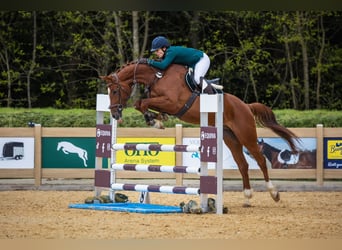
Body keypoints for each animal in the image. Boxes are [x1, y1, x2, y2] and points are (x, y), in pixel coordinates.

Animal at [100, 61, 300, 207]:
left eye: (115, 90)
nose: (115, 114)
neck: (157, 77)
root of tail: (246, 106)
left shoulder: (172, 103)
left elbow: (142, 103)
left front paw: (154, 119)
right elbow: (141, 103)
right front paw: (156, 118)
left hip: (246, 134)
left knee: (260, 160)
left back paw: (274, 192)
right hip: (230, 138)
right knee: (242, 165)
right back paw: (247, 197)